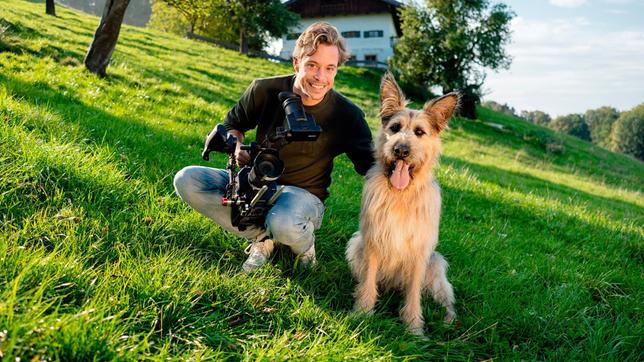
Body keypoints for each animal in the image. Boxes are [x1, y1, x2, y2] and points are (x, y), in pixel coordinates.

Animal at [348, 72, 458, 336]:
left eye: (419, 132)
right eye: (395, 128)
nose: (400, 150)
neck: (401, 195)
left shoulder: (419, 253)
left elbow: (414, 294)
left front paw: (413, 327)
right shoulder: (372, 241)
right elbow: (368, 282)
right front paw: (362, 313)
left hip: (436, 266)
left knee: (448, 300)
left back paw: (448, 319)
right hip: (355, 244)